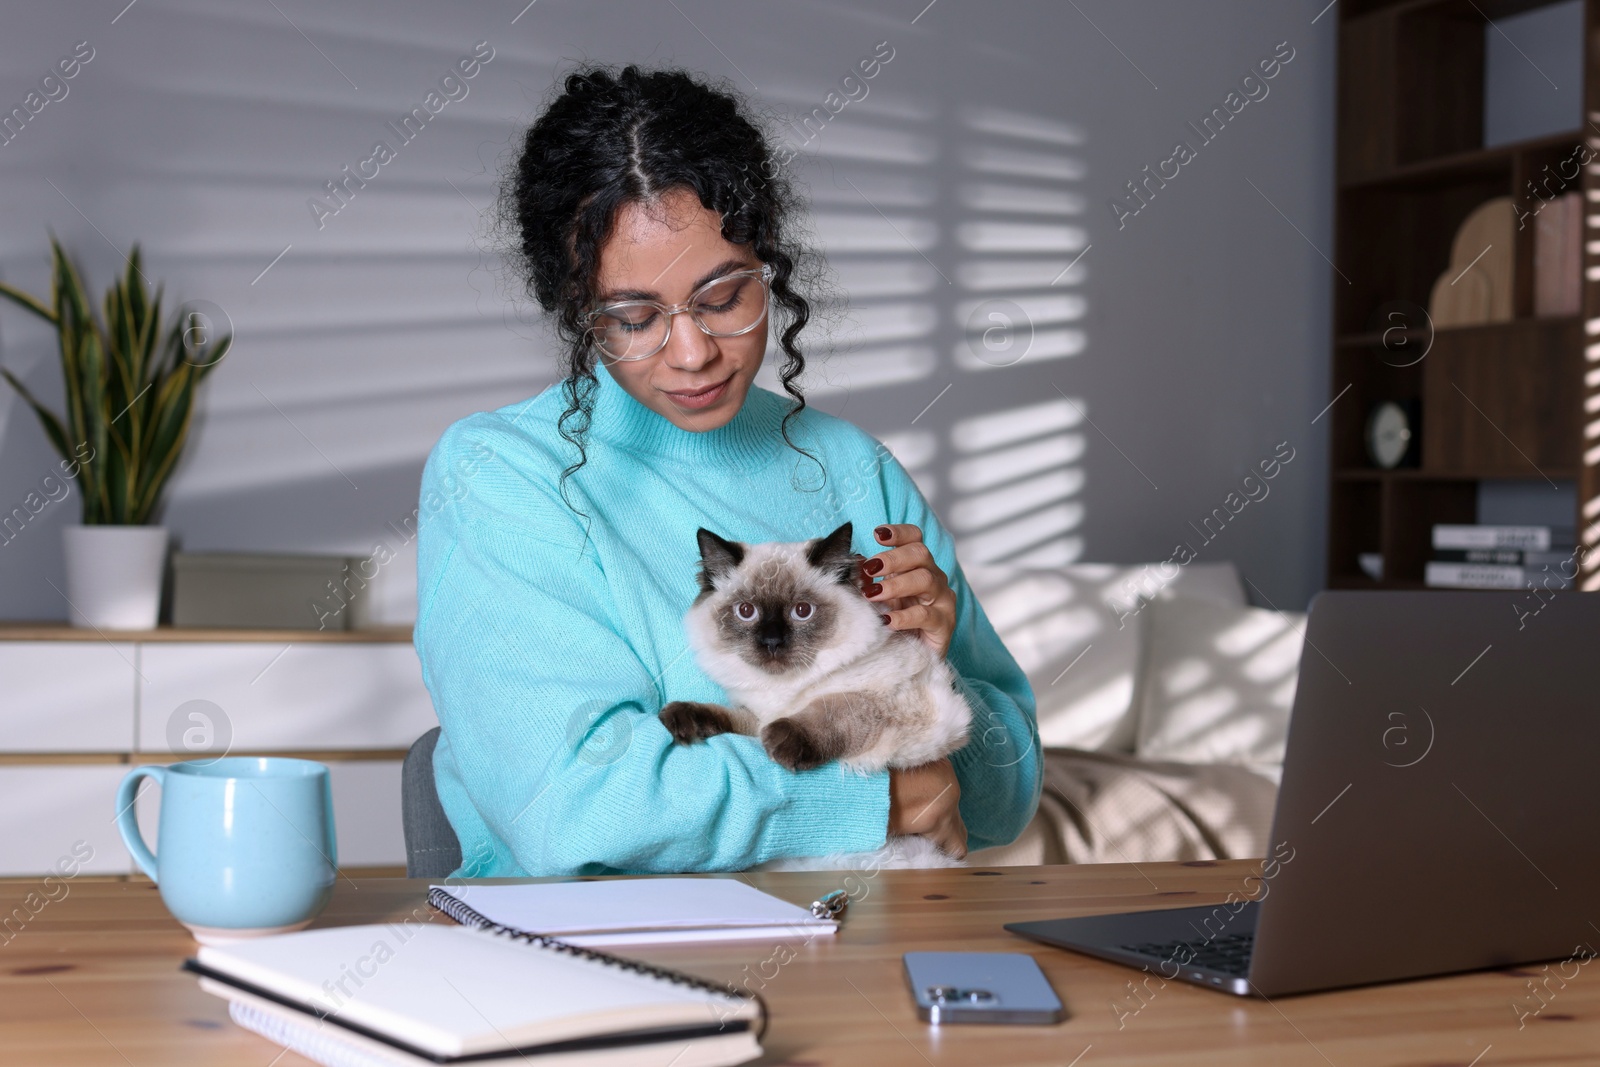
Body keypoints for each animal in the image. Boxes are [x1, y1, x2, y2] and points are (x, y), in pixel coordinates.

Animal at [656, 524, 966, 870]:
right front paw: (680, 718)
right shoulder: (757, 717)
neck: (783, 690)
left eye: (802, 611)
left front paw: (785, 741)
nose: (772, 642)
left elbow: (831, 709)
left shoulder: (900, 706)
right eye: (746, 612)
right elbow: (726, 717)